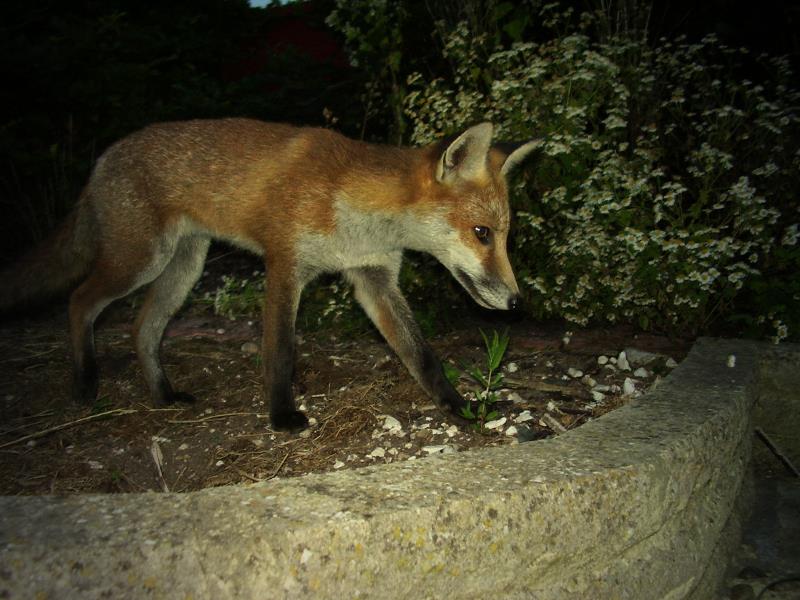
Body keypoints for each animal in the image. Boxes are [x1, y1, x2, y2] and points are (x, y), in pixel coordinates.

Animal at [0, 119, 537, 431]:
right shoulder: (284, 266)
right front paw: (281, 417)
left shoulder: (374, 278)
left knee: (142, 328)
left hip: (185, 266)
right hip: (140, 260)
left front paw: (459, 407)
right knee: (79, 302)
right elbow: (280, 352)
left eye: (505, 236)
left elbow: (422, 356)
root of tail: (102, 159)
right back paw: (85, 383)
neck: (351, 206)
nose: (517, 304)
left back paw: (163, 395)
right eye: (482, 233)